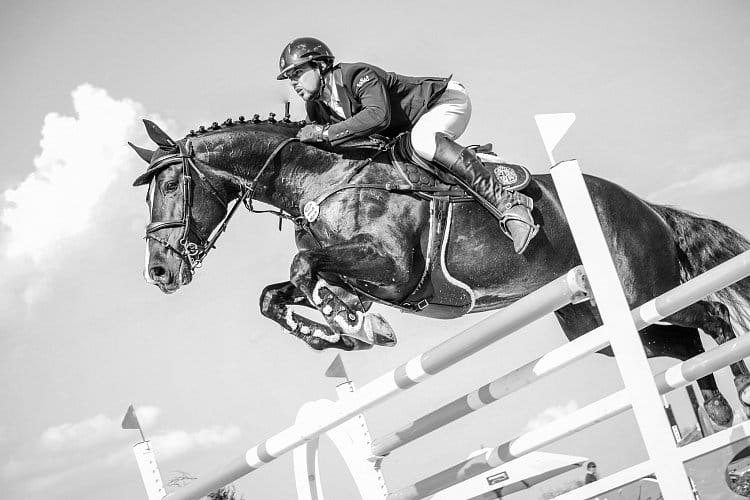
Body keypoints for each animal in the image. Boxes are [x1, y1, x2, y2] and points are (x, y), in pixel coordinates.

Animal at [131, 115, 750, 428]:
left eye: (172, 185)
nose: (160, 272)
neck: (319, 177)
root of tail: (651, 210)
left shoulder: (394, 267)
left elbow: (305, 266)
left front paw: (355, 324)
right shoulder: (360, 269)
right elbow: (273, 294)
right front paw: (336, 329)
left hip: (641, 288)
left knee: (715, 317)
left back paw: (737, 392)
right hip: (595, 321)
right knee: (683, 343)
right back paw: (718, 409)